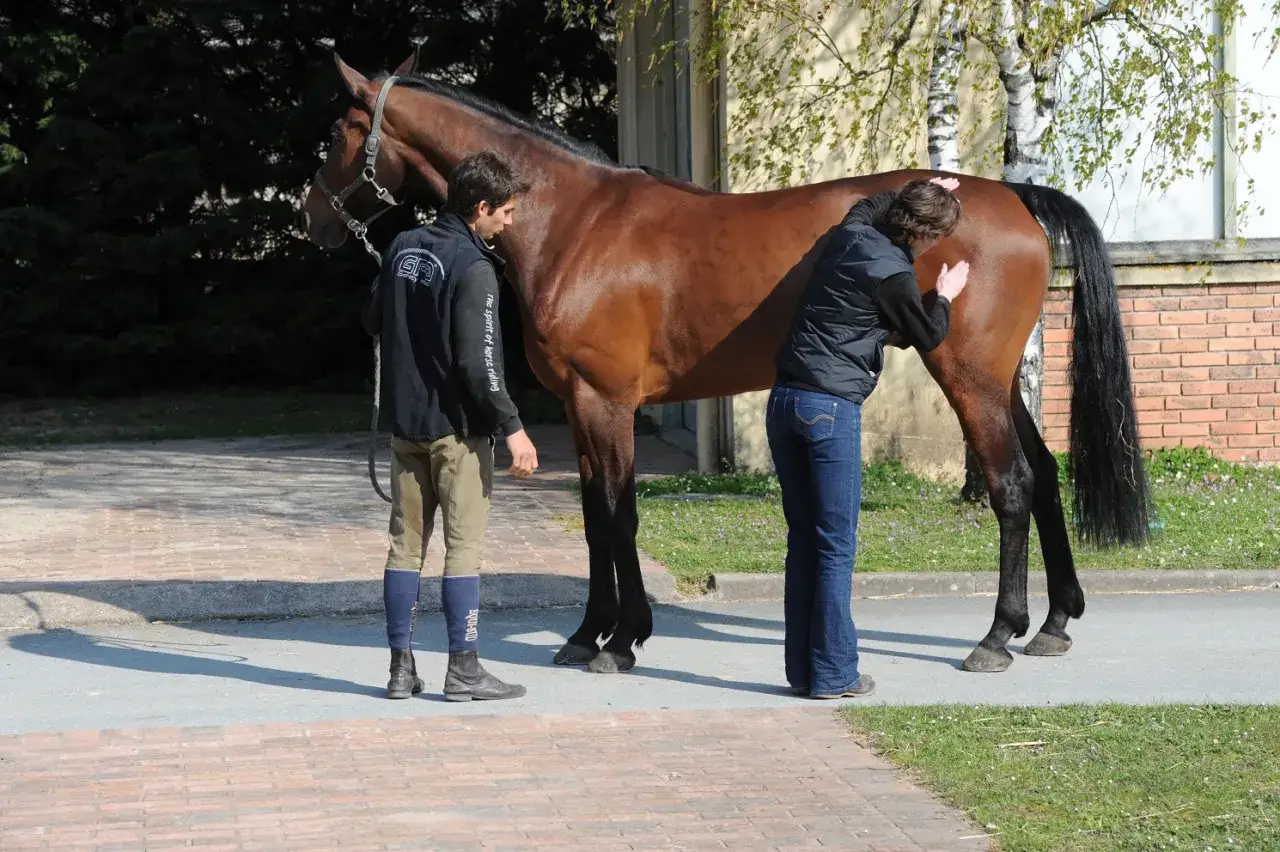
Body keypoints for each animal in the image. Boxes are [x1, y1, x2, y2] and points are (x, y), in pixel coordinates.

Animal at [302, 52, 1150, 676]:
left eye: (339, 129)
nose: (311, 218)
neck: (573, 222)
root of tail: (1014, 198)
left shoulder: (606, 402)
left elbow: (617, 515)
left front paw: (620, 641)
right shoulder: (580, 406)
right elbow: (594, 519)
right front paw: (587, 634)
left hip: (968, 376)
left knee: (1011, 486)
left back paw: (997, 636)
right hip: (1004, 381)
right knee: (1045, 475)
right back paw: (1054, 622)